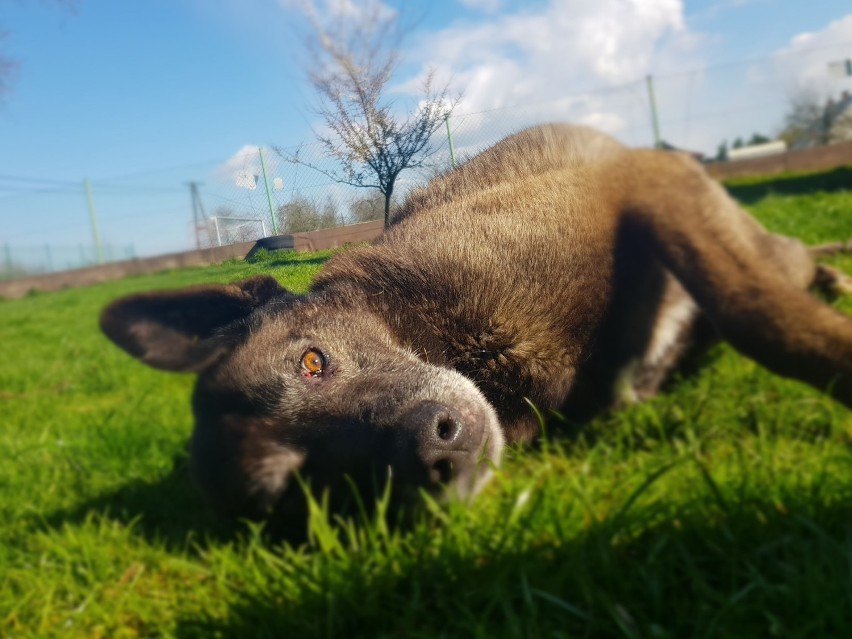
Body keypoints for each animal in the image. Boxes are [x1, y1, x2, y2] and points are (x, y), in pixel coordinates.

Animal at [98, 124, 852, 524]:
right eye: (308, 494)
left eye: (312, 361)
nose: (435, 451)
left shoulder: (645, 183)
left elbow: (759, 317)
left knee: (787, 261)